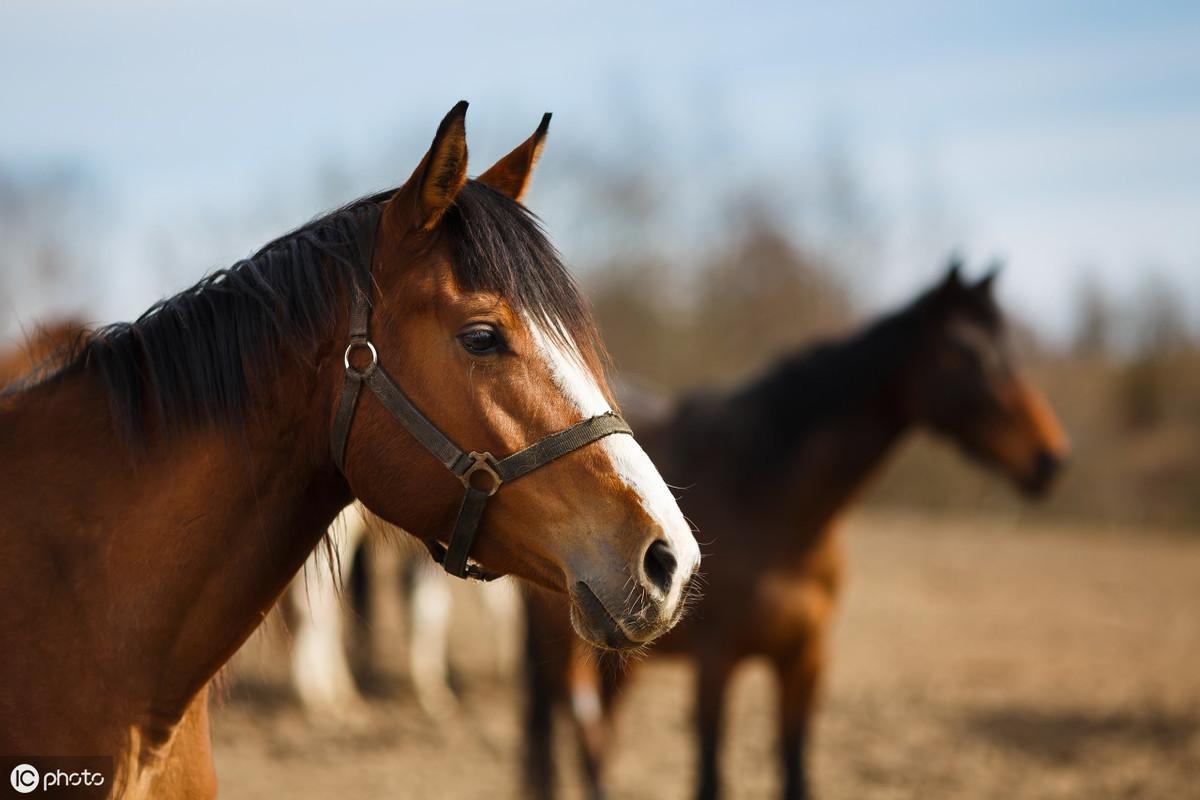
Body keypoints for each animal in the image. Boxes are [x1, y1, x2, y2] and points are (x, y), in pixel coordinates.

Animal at [523, 263, 1070, 800]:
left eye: (1010, 350)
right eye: (963, 351)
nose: (1050, 459)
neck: (773, 503)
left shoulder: (804, 664)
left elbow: (795, 776)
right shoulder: (715, 665)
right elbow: (710, 779)